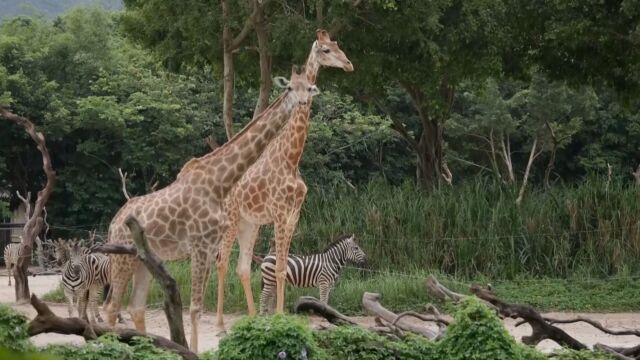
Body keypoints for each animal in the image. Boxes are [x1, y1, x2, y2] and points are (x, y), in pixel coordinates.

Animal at [105, 65, 322, 352]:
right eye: (288, 88)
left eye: (308, 88)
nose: (303, 103)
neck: (219, 182)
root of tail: (113, 223)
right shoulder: (199, 245)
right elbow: (194, 308)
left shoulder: (208, 247)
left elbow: (197, 308)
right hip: (121, 259)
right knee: (111, 307)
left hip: (143, 261)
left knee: (135, 307)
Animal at [216, 29, 356, 330]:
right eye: (325, 50)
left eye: (337, 44)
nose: (349, 64)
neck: (291, 159)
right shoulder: (280, 214)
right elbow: (279, 268)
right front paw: (279, 318)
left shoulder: (293, 215)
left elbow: (281, 269)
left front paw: (277, 319)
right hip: (232, 218)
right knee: (221, 261)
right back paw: (221, 324)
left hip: (250, 223)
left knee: (242, 267)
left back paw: (252, 318)